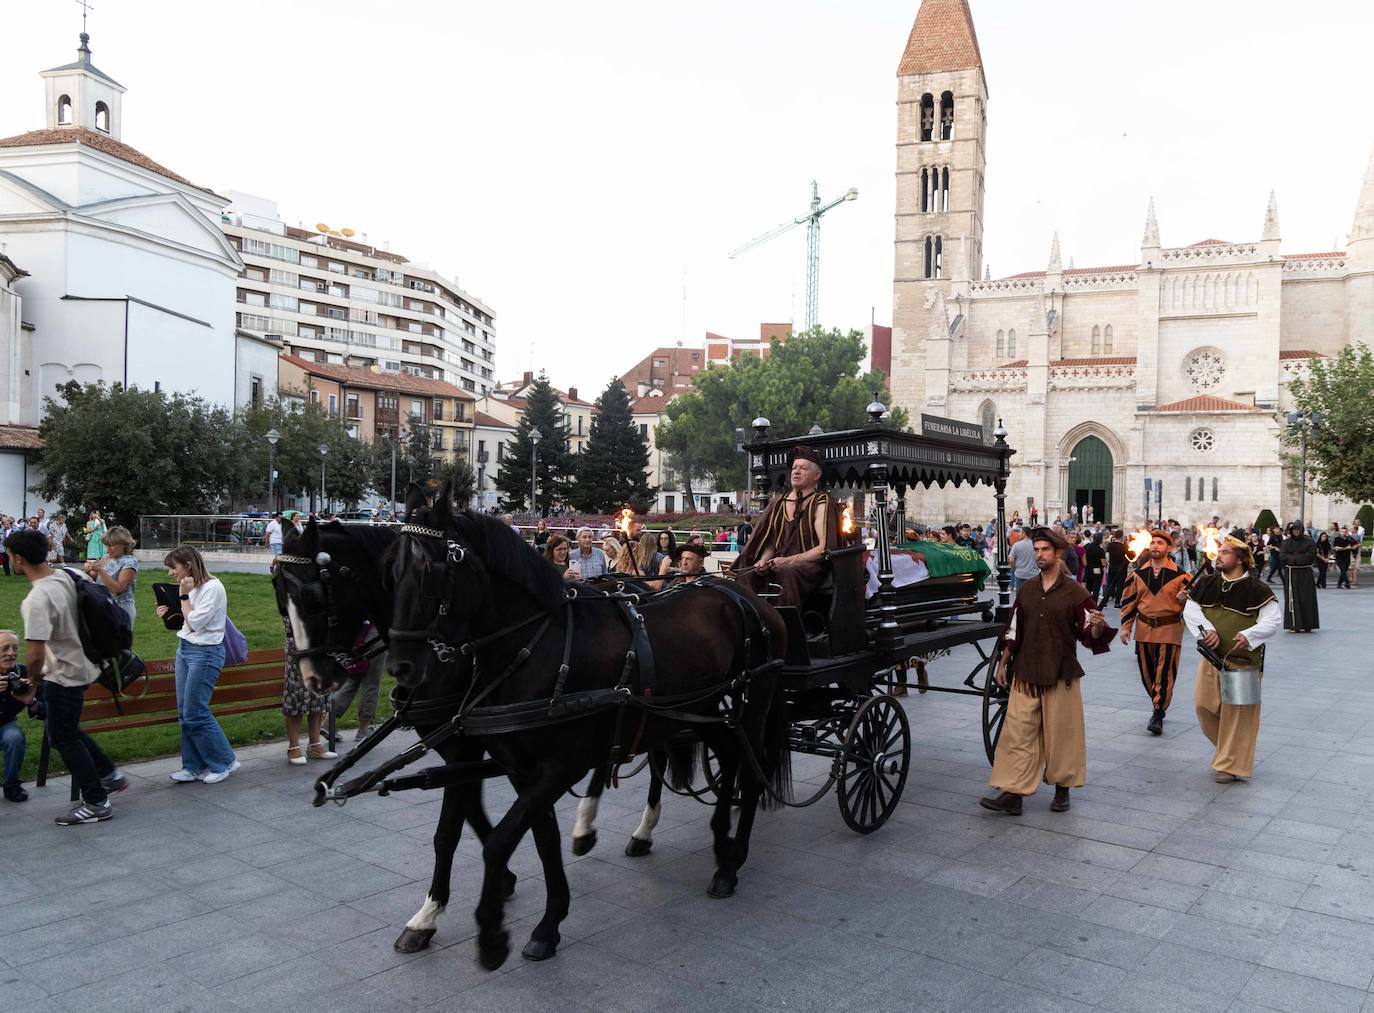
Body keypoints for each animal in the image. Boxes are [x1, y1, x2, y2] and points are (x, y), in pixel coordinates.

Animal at [392, 486, 791, 967]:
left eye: (431, 570)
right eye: (393, 569)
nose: (402, 668)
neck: (537, 645)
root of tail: (748, 596)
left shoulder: (561, 763)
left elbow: (498, 841)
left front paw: (491, 934)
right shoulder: (521, 768)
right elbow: (541, 837)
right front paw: (549, 923)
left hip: (753, 706)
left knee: (751, 772)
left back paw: (731, 864)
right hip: (706, 708)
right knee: (730, 757)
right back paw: (719, 843)